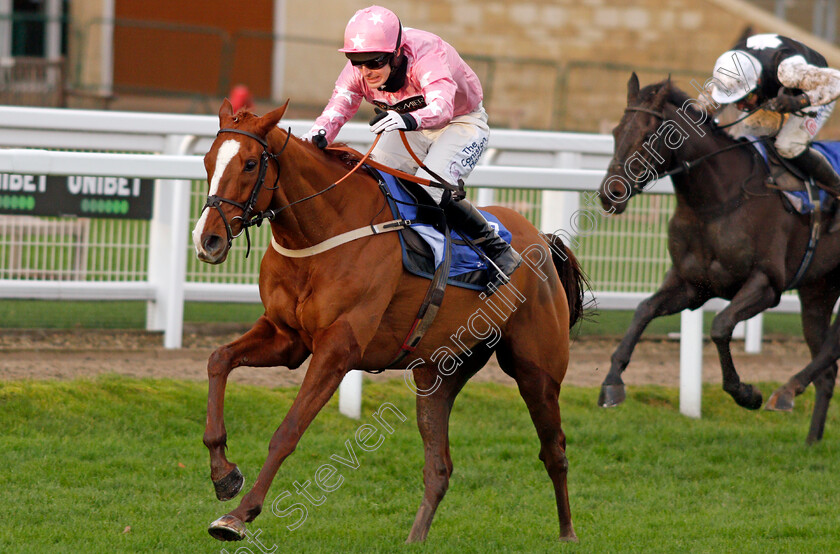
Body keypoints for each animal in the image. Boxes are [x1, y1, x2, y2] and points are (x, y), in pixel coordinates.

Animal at [192, 98, 584, 540]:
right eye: (208, 160)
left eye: (249, 164)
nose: (207, 240)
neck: (322, 233)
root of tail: (542, 242)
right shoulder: (286, 337)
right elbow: (219, 360)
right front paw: (223, 474)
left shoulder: (338, 349)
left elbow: (287, 431)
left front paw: (239, 515)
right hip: (438, 374)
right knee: (439, 468)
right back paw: (416, 539)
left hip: (537, 371)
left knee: (555, 451)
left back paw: (567, 534)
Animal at [596, 74, 840, 444]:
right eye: (615, 131)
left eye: (649, 135)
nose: (610, 193)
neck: (714, 203)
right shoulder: (692, 285)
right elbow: (643, 311)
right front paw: (612, 383)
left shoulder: (767, 285)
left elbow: (721, 326)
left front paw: (745, 393)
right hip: (818, 292)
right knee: (827, 367)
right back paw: (810, 438)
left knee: (831, 351)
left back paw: (785, 391)